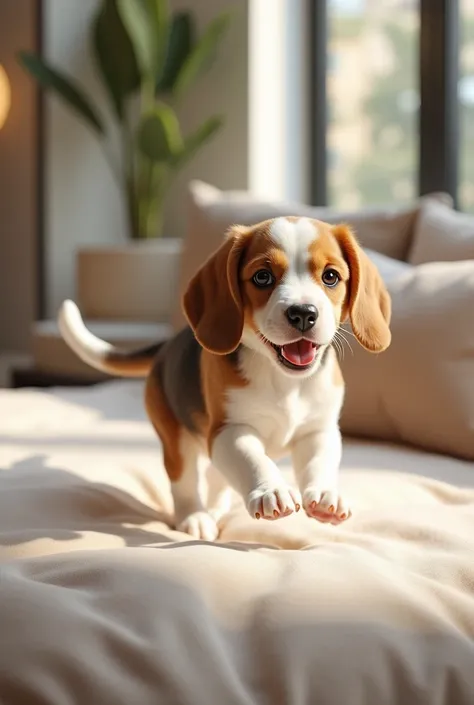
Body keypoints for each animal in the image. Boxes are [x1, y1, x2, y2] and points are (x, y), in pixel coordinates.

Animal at [59, 217, 390, 540]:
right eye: (262, 277)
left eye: (331, 276)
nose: (303, 314)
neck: (283, 380)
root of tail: (167, 345)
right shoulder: (227, 430)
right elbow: (252, 459)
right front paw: (270, 490)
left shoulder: (318, 431)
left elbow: (318, 462)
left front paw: (324, 495)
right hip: (175, 437)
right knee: (185, 481)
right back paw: (195, 518)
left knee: (214, 475)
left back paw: (217, 509)